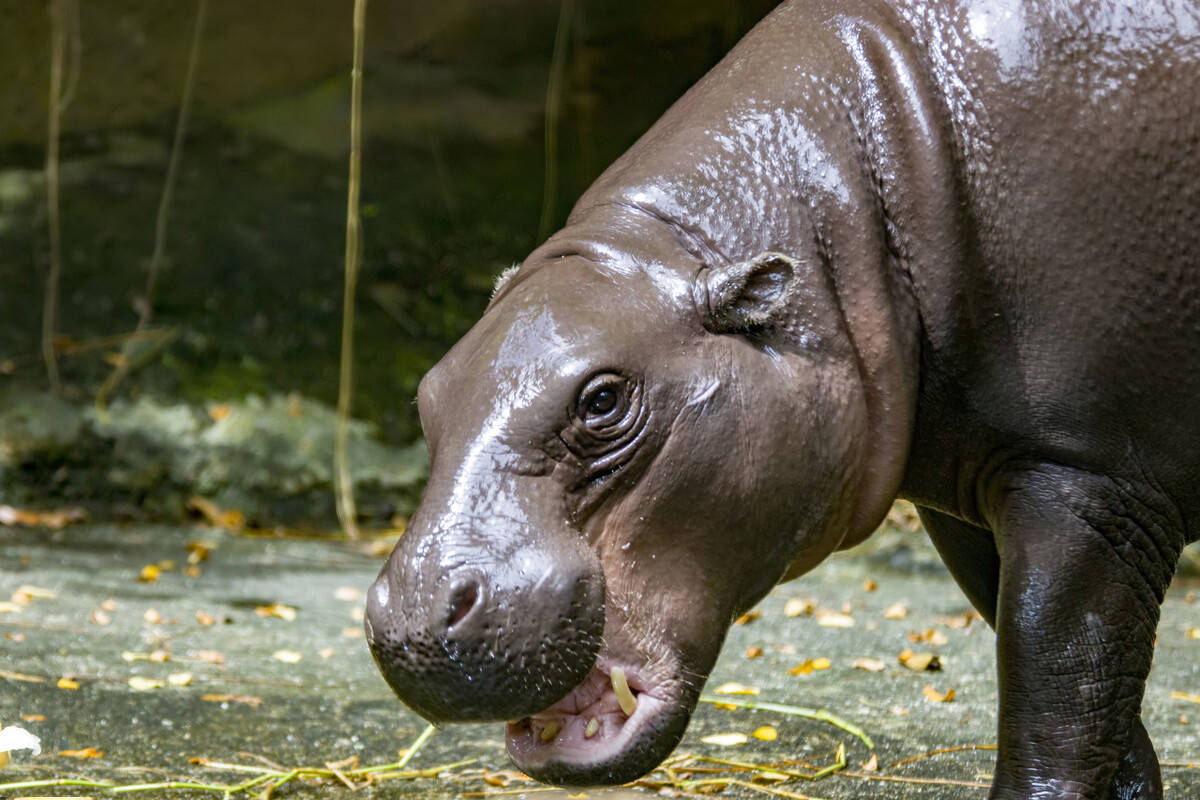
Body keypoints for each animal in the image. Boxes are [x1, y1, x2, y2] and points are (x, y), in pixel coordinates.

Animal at [362, 3, 1200, 796]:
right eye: (430, 392)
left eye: (602, 401)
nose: (413, 616)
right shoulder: (979, 494)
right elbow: (1081, 690)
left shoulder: (1088, 479)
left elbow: (1058, 686)